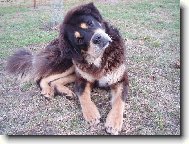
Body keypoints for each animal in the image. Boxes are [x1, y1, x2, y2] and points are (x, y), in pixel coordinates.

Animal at [6, 2, 129, 135]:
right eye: (79, 40)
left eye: (90, 23)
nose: (97, 38)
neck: (99, 59)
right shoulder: (83, 80)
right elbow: (83, 96)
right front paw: (91, 114)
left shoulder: (120, 79)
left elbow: (119, 101)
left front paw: (114, 122)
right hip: (67, 63)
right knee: (41, 77)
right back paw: (47, 90)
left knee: (54, 81)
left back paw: (66, 92)